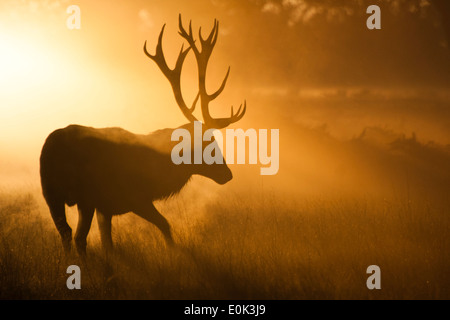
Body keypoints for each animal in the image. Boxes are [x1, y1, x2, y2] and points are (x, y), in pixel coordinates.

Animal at [39, 15, 246, 256]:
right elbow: (165, 224)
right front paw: (175, 254)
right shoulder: (134, 197)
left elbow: (108, 243)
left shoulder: (105, 208)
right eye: (208, 143)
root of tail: (49, 148)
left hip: (52, 193)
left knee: (67, 232)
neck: (158, 172)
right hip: (80, 195)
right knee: (77, 235)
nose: (227, 174)